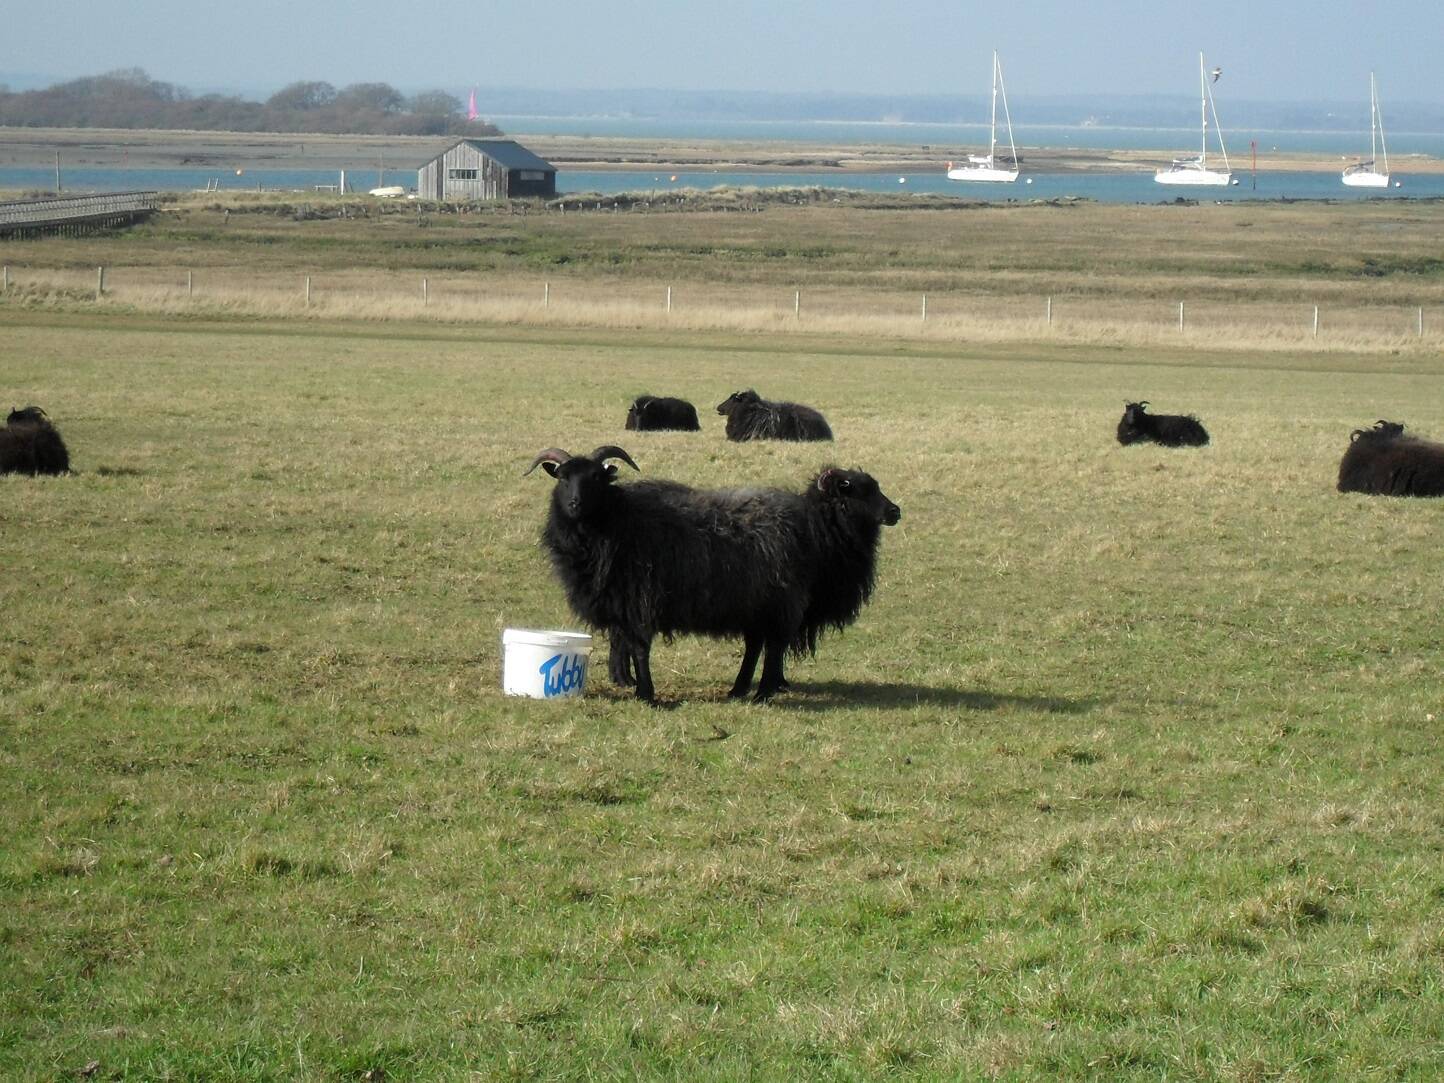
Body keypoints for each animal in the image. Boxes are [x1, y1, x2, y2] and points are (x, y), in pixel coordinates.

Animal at [525, 447, 895, 704]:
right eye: (563, 478)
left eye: (597, 478)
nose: (896, 511)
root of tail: (798, 519)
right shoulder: (624, 603)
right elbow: (630, 646)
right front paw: (638, 688)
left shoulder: (639, 601)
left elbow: (639, 648)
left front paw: (645, 694)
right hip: (759, 604)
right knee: (761, 646)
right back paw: (744, 690)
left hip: (774, 603)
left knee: (771, 646)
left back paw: (760, 692)